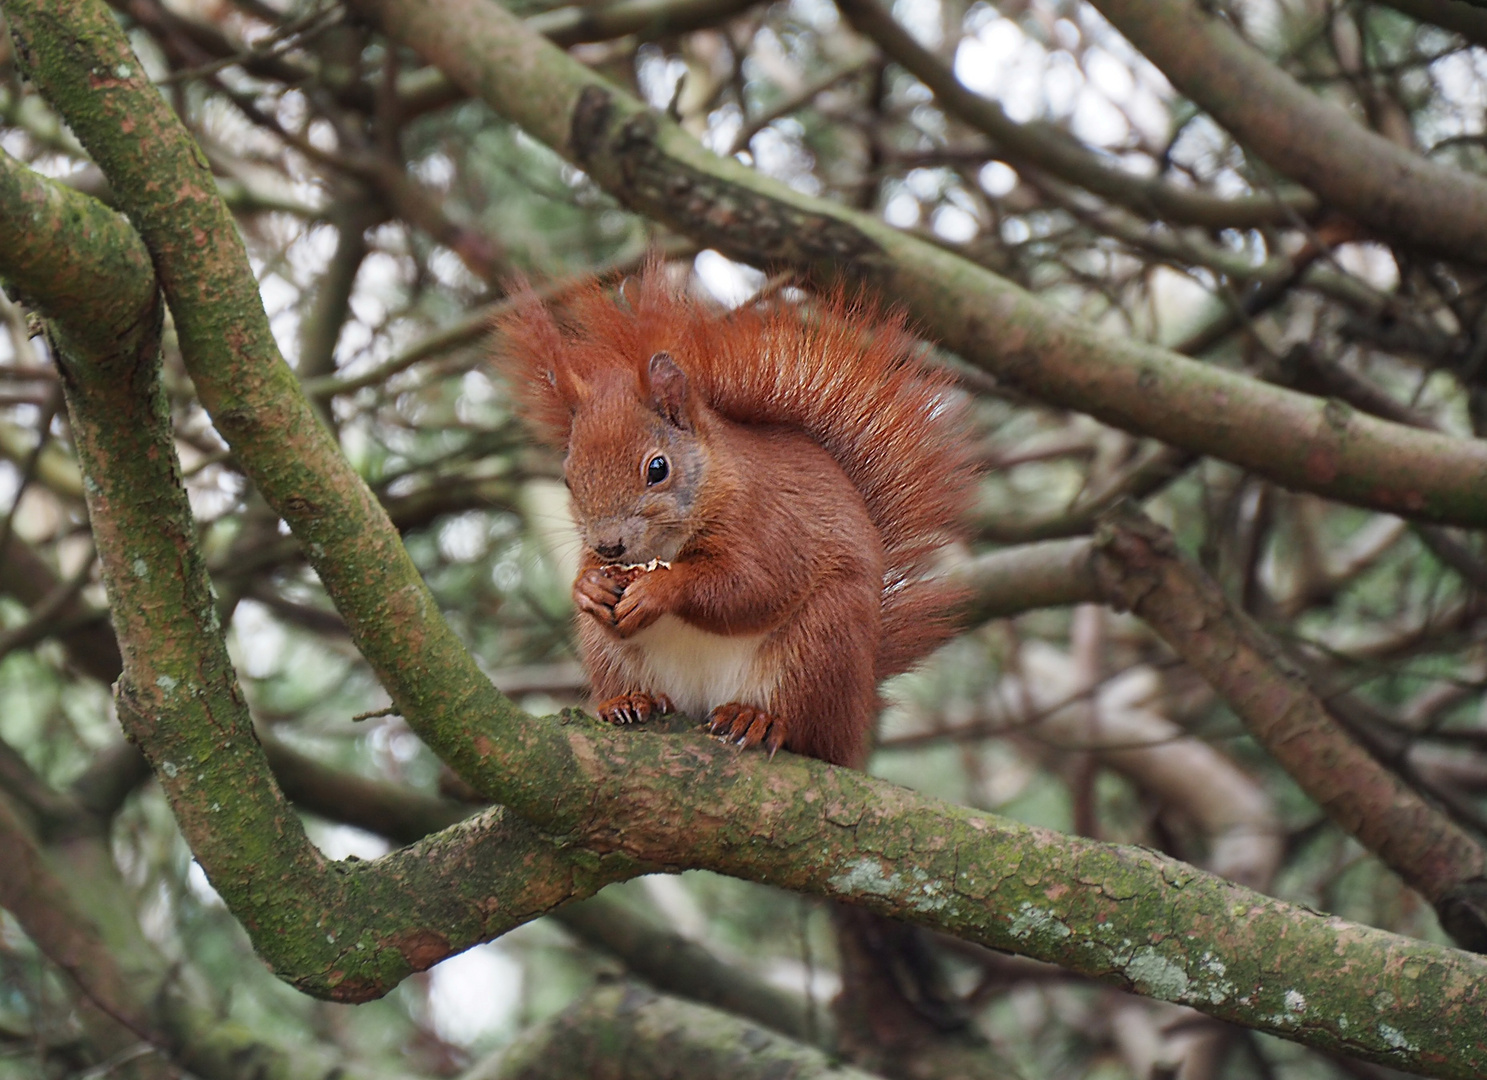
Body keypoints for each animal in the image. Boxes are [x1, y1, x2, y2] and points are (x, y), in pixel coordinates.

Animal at [499, 261, 975, 767]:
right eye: (568, 478)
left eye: (657, 468)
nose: (610, 545)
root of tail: (855, 717)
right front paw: (588, 587)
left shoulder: (769, 523)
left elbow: (750, 586)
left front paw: (660, 589)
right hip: (608, 654)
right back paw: (630, 701)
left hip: (823, 642)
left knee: (805, 730)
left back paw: (757, 719)